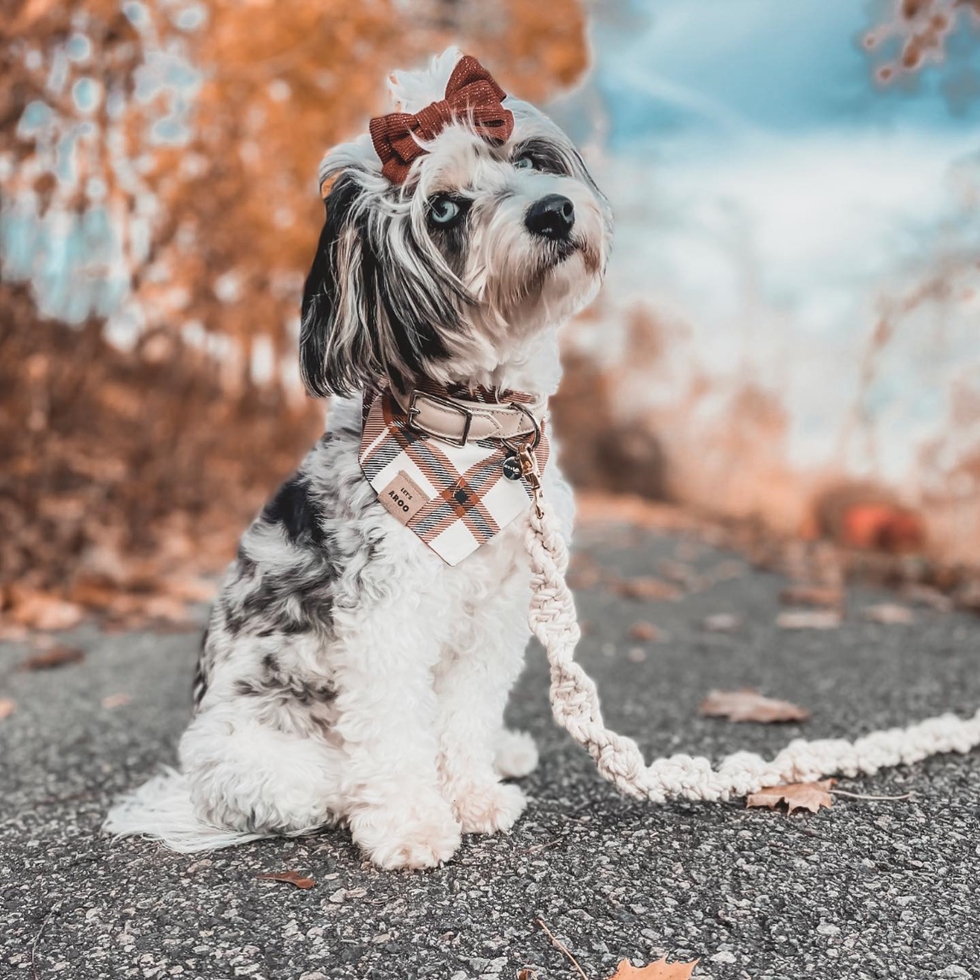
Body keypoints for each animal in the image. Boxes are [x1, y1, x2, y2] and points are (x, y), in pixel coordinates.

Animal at [107, 47, 612, 872]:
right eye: (443, 210)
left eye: (529, 159)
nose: (554, 212)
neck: (474, 428)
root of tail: (191, 787)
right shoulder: (386, 617)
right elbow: (397, 729)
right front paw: (412, 821)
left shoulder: (498, 611)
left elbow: (465, 715)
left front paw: (471, 793)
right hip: (271, 761)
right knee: (337, 781)